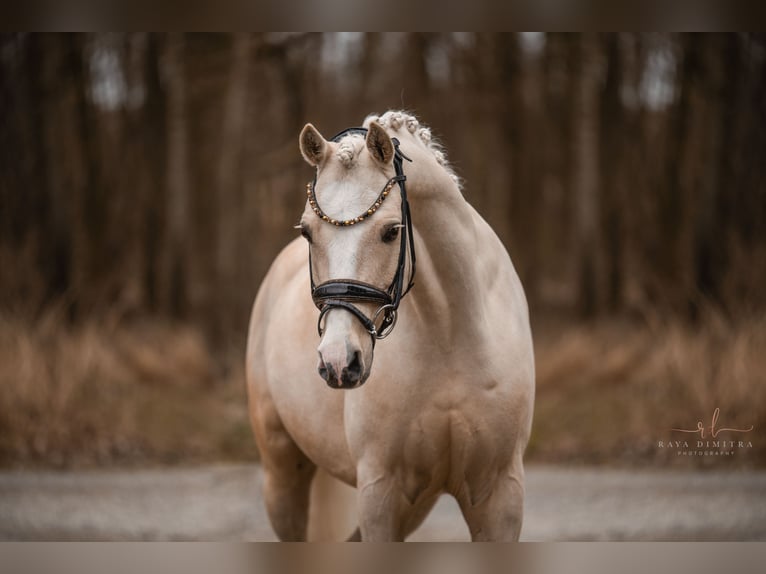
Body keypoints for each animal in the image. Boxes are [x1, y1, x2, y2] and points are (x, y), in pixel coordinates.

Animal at [249, 110, 536, 544]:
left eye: (391, 231)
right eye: (307, 231)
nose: (339, 362)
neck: (450, 336)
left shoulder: (501, 494)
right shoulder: (381, 493)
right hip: (283, 474)